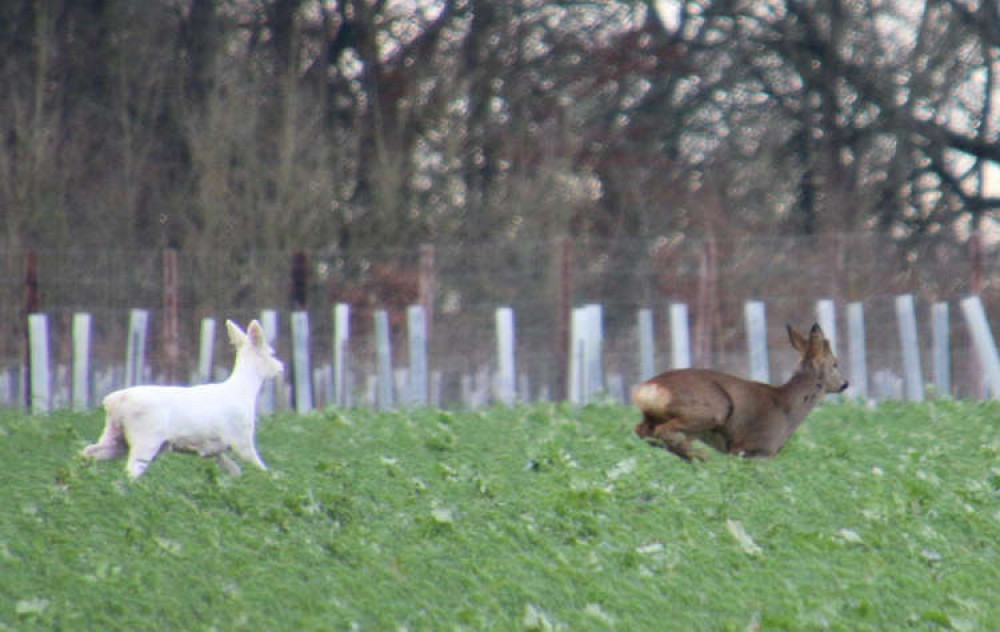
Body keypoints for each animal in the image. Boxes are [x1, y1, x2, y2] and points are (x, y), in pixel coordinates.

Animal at [83, 320, 284, 478]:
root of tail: (113, 401)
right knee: (131, 470)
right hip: (145, 438)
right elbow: (262, 469)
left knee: (89, 452)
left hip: (115, 436)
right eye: (272, 353)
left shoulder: (215, 450)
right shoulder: (241, 440)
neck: (244, 392)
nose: (281, 367)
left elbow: (235, 471)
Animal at [632, 324, 844, 462]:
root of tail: (648, 388)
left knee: (643, 431)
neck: (787, 411)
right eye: (835, 363)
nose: (844, 384)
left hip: (655, 417)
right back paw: (702, 458)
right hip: (713, 409)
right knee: (664, 432)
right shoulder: (756, 449)